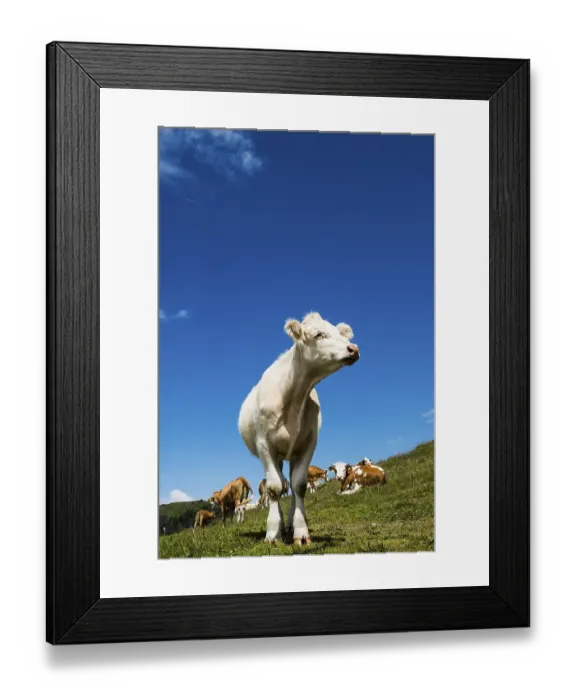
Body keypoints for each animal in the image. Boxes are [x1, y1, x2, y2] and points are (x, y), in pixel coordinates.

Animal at [238, 311, 359, 545]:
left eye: (341, 334)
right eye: (319, 334)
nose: (354, 348)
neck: (294, 395)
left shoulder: (308, 443)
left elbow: (300, 486)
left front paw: (301, 531)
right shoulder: (265, 445)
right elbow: (274, 487)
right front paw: (272, 533)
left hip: (292, 453)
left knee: (292, 488)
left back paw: (290, 524)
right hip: (275, 455)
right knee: (278, 486)